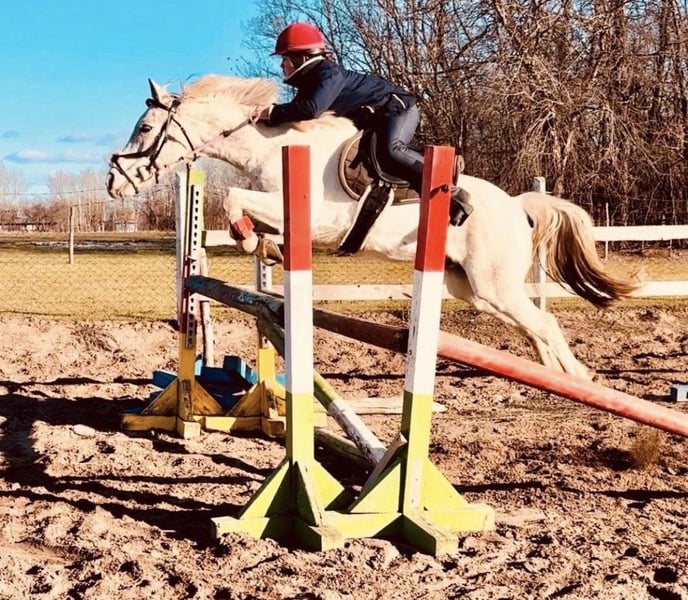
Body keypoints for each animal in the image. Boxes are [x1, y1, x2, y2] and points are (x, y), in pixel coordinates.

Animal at [106, 75, 638, 380]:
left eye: (145, 129)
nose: (113, 182)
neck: (271, 146)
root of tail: (517, 206)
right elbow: (248, 216)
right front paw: (264, 245)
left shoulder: (319, 219)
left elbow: (235, 200)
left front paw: (255, 239)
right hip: (474, 290)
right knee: (533, 330)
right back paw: (554, 379)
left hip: (494, 284)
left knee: (545, 324)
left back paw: (579, 380)